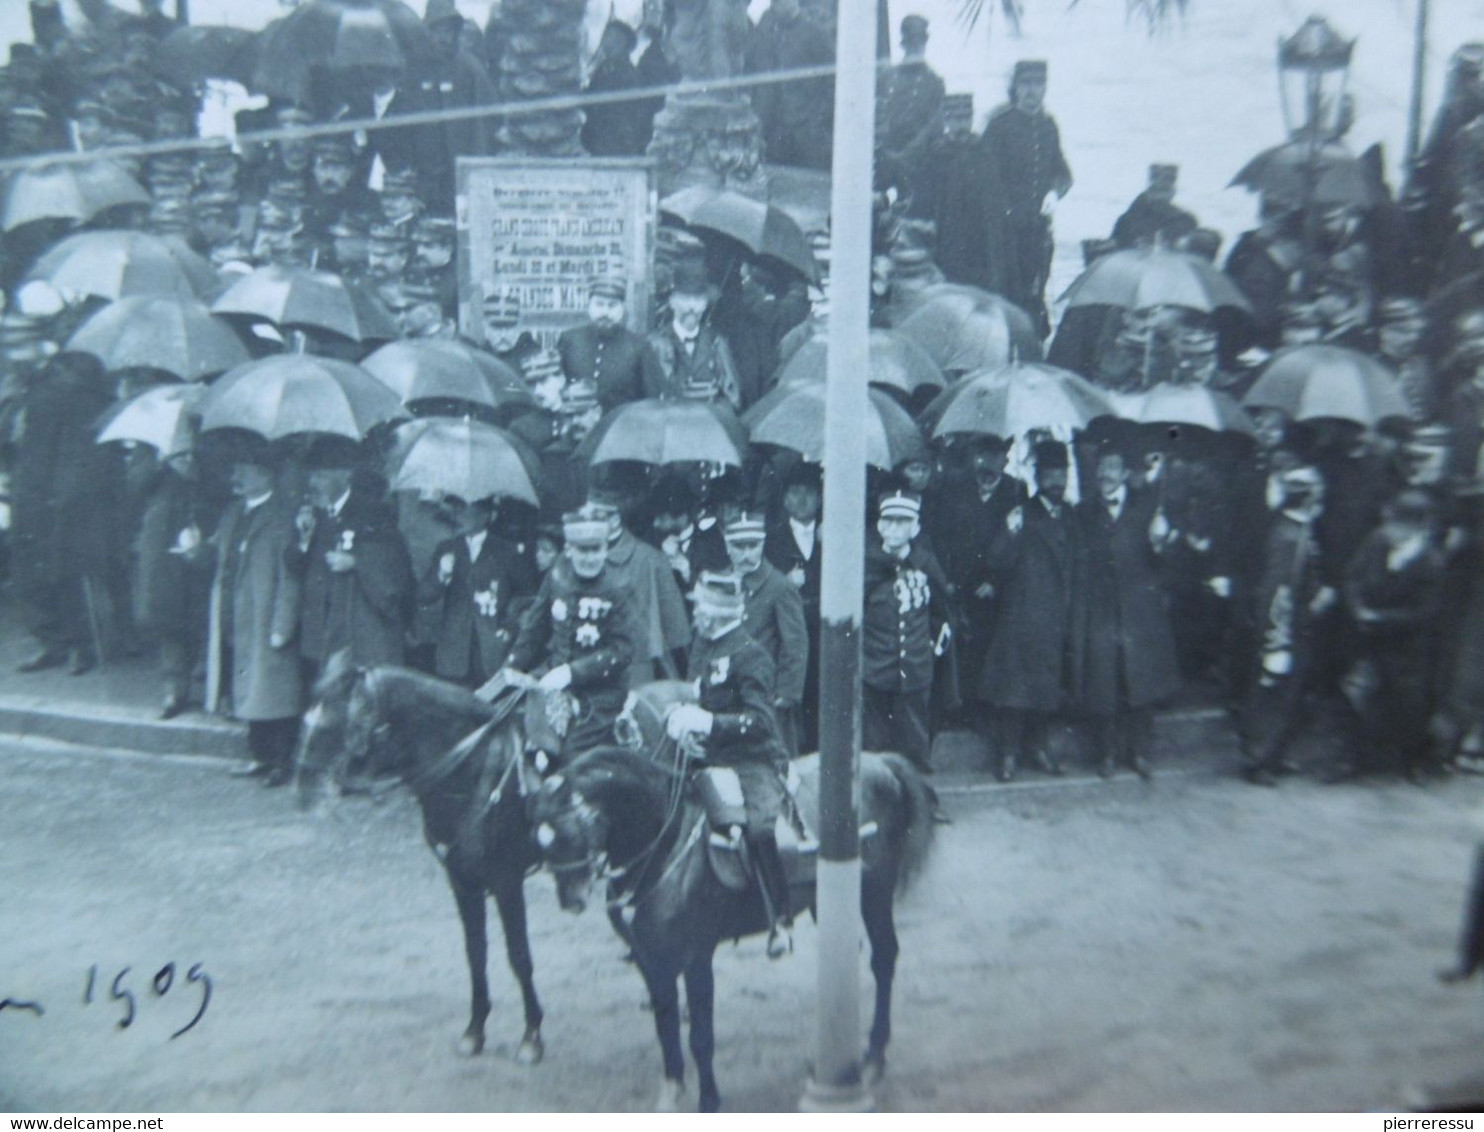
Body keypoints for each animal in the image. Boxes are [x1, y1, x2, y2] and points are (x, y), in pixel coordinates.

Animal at [293, 658, 546, 1068]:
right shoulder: (462, 882)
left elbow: (519, 956)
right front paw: (474, 1030)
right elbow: (476, 954)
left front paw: (532, 1035)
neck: (471, 770)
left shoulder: (508, 882)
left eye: (333, 722)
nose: (301, 788)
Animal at [528, 721, 931, 1109]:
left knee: (884, 959)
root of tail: (881, 763)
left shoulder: (695, 957)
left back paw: (873, 1056)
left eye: (569, 830)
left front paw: (708, 1100)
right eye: (540, 837)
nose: (571, 899)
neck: (665, 840)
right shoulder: (650, 959)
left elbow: (700, 1036)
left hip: (875, 893)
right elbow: (665, 1026)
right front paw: (671, 1091)